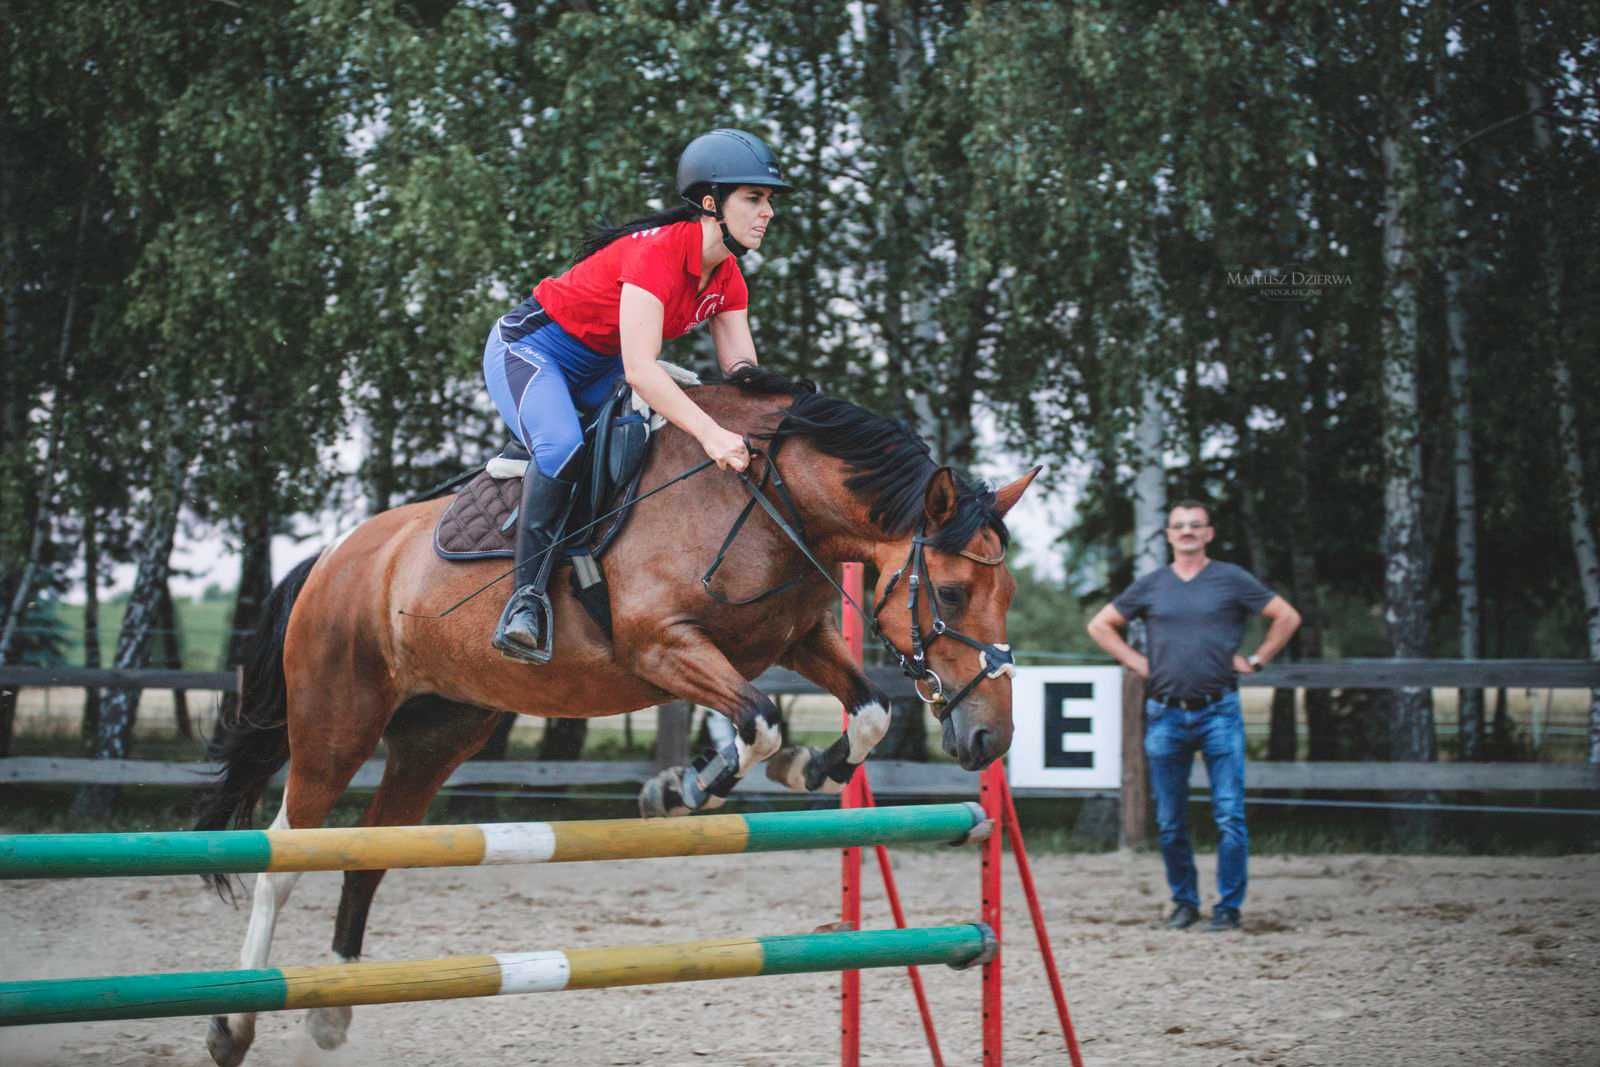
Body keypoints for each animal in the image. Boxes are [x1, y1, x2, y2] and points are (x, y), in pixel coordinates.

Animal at [193, 363, 1036, 1062]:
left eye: (1009, 594)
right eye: (952, 592)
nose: (990, 736)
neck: (767, 500)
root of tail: (333, 557)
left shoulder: (796, 638)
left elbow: (866, 715)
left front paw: (804, 767)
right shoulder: (661, 644)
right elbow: (759, 718)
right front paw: (680, 790)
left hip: (438, 734)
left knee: (367, 853)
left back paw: (332, 1011)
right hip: (336, 722)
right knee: (282, 856)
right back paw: (234, 1022)